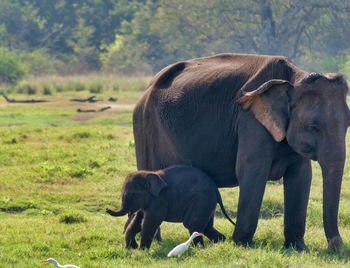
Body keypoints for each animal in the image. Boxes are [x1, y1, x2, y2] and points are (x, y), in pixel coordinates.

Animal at [105, 165, 234, 249]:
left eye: (132, 195)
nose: (106, 209)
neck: (150, 173)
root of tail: (216, 190)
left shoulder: (160, 199)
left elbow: (150, 222)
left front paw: (142, 250)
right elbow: (138, 221)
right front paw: (130, 248)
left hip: (202, 201)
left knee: (192, 224)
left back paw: (199, 248)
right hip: (208, 203)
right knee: (207, 226)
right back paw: (220, 242)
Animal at [132, 52, 350, 251]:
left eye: (347, 125)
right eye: (313, 127)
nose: (336, 246)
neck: (293, 78)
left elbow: (301, 176)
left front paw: (297, 248)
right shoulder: (250, 120)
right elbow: (253, 171)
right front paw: (241, 245)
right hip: (145, 127)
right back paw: (155, 243)